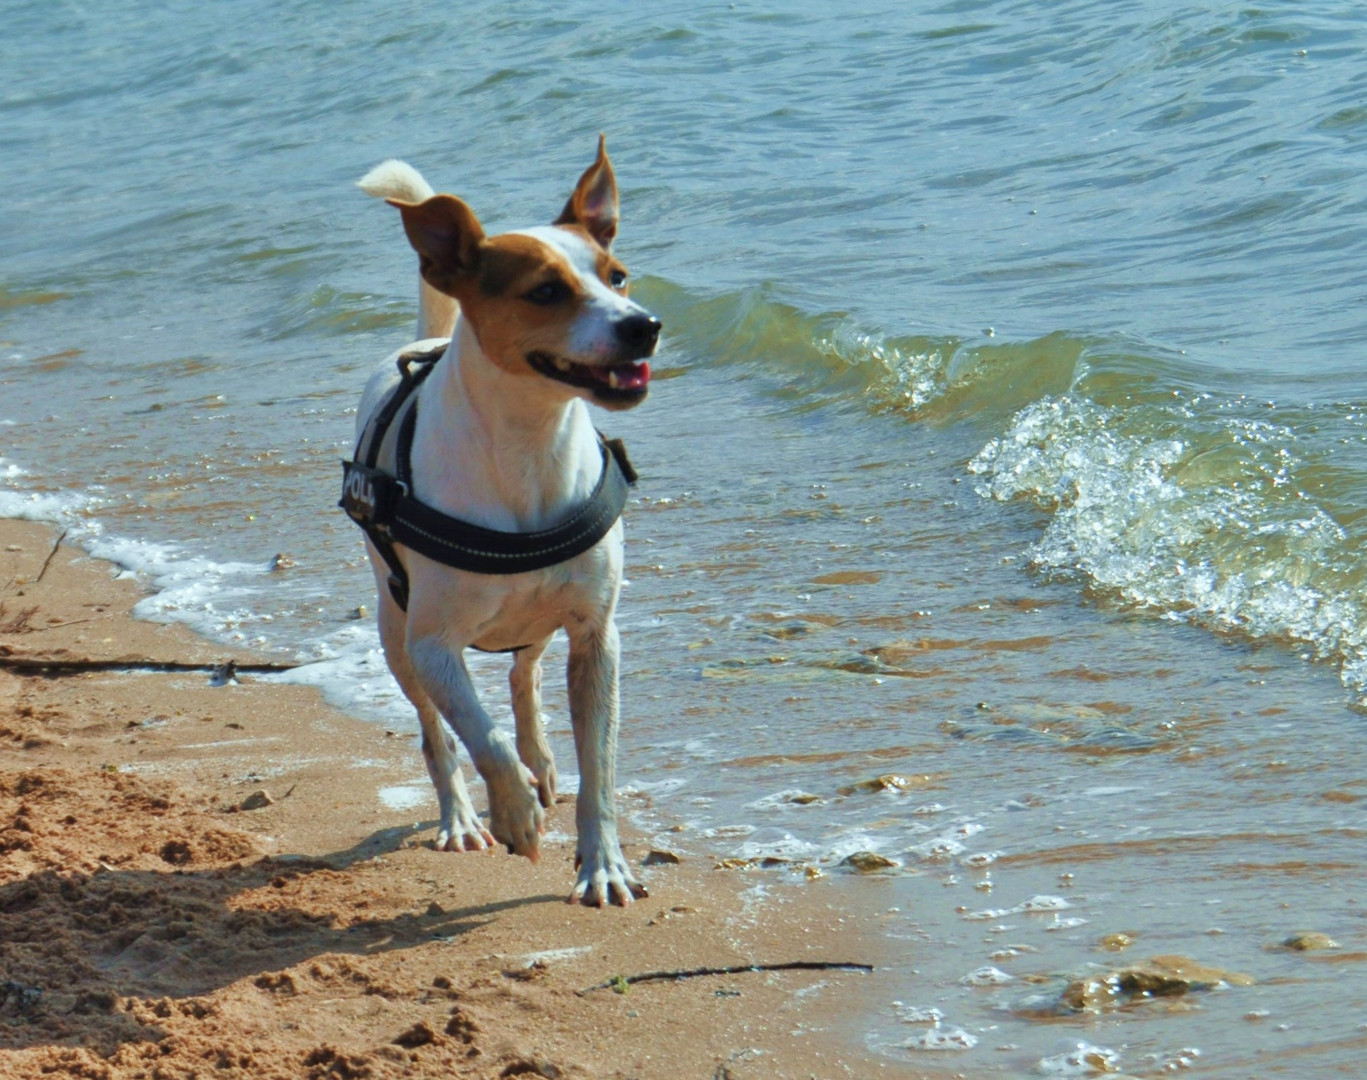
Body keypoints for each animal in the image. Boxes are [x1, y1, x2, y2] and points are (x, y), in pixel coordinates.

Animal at [355, 139, 658, 907]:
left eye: (617, 276)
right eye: (545, 292)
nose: (642, 324)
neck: (529, 447)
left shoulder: (598, 636)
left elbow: (599, 768)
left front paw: (603, 864)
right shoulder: (433, 645)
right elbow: (477, 733)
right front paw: (513, 809)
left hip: (541, 620)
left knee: (525, 671)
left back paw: (541, 758)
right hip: (395, 634)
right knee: (436, 734)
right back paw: (464, 815)